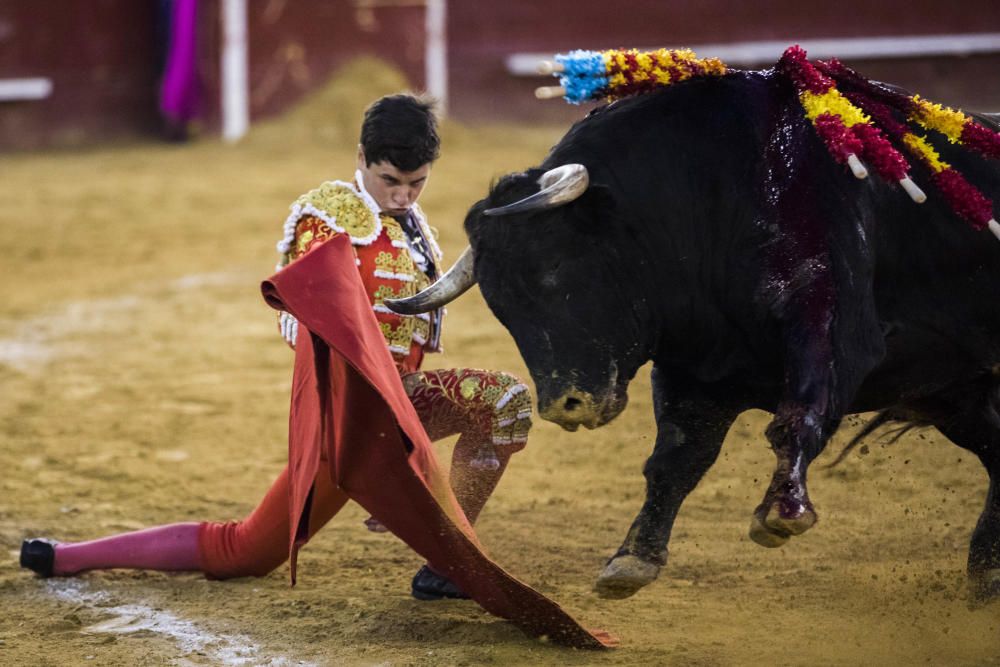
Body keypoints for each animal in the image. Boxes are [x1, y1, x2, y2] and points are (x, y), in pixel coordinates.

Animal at [386, 70, 996, 604]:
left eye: (558, 270)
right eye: (501, 307)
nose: (567, 405)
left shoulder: (831, 326)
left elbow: (796, 418)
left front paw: (783, 512)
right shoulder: (696, 370)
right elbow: (676, 458)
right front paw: (632, 559)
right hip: (957, 394)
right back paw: (985, 572)